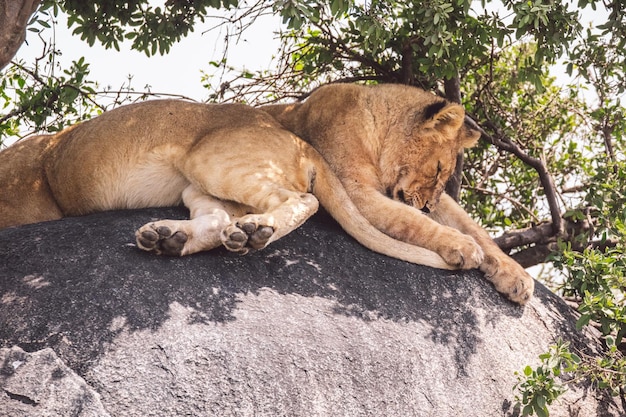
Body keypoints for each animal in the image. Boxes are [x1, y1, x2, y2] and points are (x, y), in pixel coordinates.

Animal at [0, 98, 468, 270]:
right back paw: (168, 238)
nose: (429, 205)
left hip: (211, 161)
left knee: (303, 200)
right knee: (217, 218)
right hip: (197, 183)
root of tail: (297, 139)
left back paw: (256, 232)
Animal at [262, 83, 532, 304]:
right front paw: (462, 245)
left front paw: (516, 276)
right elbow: (411, 221)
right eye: (438, 169)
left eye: (444, 176)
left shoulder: (434, 199)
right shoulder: (354, 190)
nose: (428, 207)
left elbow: (475, 228)